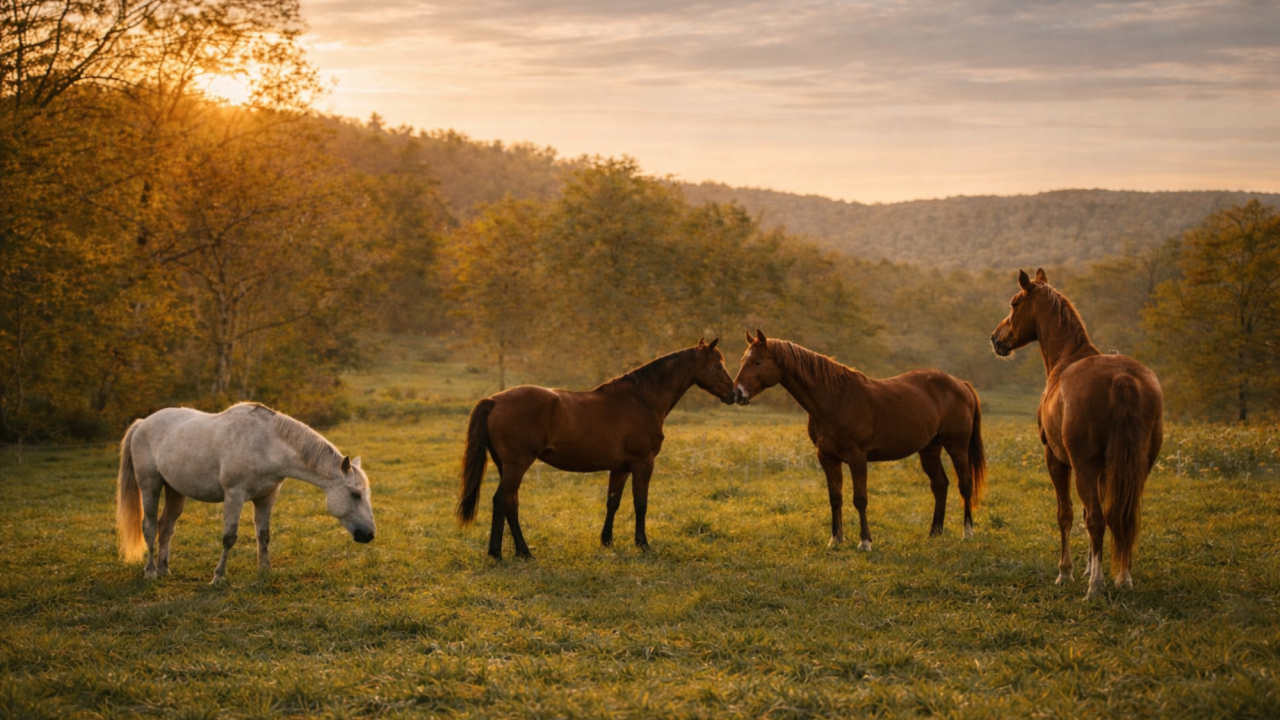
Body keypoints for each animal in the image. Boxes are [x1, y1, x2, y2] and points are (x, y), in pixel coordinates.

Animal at [116, 402, 376, 583]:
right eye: (355, 494)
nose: (369, 535)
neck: (267, 445)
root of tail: (142, 423)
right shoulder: (235, 495)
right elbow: (229, 537)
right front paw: (218, 577)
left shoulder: (267, 497)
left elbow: (264, 535)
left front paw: (265, 571)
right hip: (150, 486)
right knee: (149, 527)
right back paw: (150, 572)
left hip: (175, 491)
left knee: (166, 527)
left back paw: (164, 570)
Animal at [457, 338, 736, 560]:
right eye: (718, 365)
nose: (735, 394)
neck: (641, 399)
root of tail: (494, 400)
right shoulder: (643, 463)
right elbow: (640, 504)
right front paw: (642, 544)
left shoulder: (620, 468)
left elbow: (613, 502)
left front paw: (607, 541)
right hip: (517, 464)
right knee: (502, 501)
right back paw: (497, 553)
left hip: (506, 466)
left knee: (511, 504)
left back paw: (524, 552)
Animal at [732, 330, 987, 549]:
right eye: (743, 360)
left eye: (758, 362)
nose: (737, 393)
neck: (835, 400)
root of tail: (960, 384)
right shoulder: (827, 458)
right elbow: (835, 498)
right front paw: (835, 540)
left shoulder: (857, 457)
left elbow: (860, 499)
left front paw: (865, 542)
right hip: (930, 449)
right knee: (939, 485)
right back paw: (934, 533)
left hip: (957, 447)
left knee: (965, 484)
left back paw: (967, 533)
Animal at [991, 268, 1163, 599]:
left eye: (1014, 303)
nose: (996, 338)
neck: (1066, 359)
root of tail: (1122, 378)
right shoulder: (1106, 470)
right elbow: (1097, 514)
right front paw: (1088, 568)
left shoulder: (1056, 460)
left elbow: (1068, 514)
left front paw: (1067, 572)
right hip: (1138, 467)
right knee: (1123, 515)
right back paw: (1123, 577)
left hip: (1082, 467)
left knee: (1097, 518)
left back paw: (1095, 586)